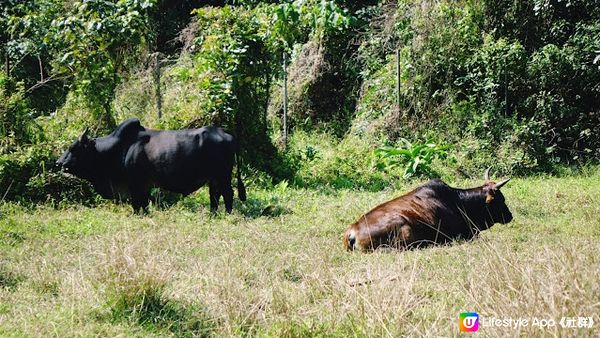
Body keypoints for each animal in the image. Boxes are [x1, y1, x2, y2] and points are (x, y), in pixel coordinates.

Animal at [55, 119, 245, 213]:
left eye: (73, 148)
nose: (59, 163)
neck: (119, 148)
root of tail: (224, 131)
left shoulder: (135, 185)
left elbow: (137, 204)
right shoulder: (143, 186)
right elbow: (144, 204)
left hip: (223, 176)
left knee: (227, 194)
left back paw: (227, 214)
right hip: (214, 178)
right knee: (215, 195)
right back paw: (213, 214)